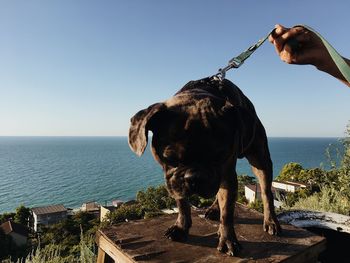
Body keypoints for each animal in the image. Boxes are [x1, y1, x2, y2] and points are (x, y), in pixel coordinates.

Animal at [129, 77, 282, 256]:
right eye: (170, 158)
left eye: (219, 156)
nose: (194, 178)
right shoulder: (175, 182)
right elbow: (182, 204)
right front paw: (181, 227)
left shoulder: (227, 174)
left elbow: (227, 212)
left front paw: (228, 239)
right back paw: (215, 209)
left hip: (260, 159)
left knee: (266, 193)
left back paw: (271, 221)